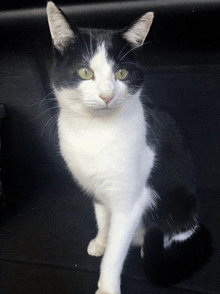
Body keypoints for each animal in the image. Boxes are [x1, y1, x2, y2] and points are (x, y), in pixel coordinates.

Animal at [46, 1, 198, 292]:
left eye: (121, 73)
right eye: (85, 72)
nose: (107, 95)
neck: (95, 131)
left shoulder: (130, 202)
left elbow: (116, 252)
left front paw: (107, 286)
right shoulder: (96, 188)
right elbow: (102, 218)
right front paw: (101, 241)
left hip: (178, 197)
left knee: (176, 230)